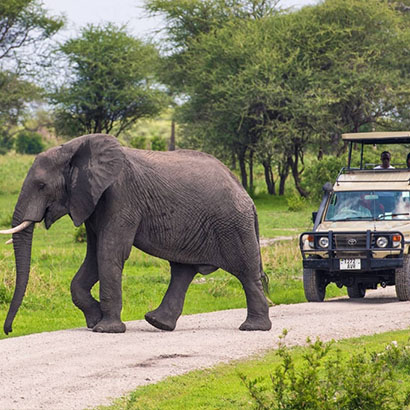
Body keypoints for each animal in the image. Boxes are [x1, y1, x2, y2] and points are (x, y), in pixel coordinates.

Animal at [1, 134, 272, 334]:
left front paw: (106, 330)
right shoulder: (92, 202)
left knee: (246, 273)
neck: (72, 149)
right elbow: (94, 256)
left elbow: (109, 253)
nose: (9, 330)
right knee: (183, 271)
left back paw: (253, 328)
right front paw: (94, 321)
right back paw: (158, 322)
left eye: (41, 186)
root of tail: (245, 194)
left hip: (233, 225)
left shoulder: (121, 197)